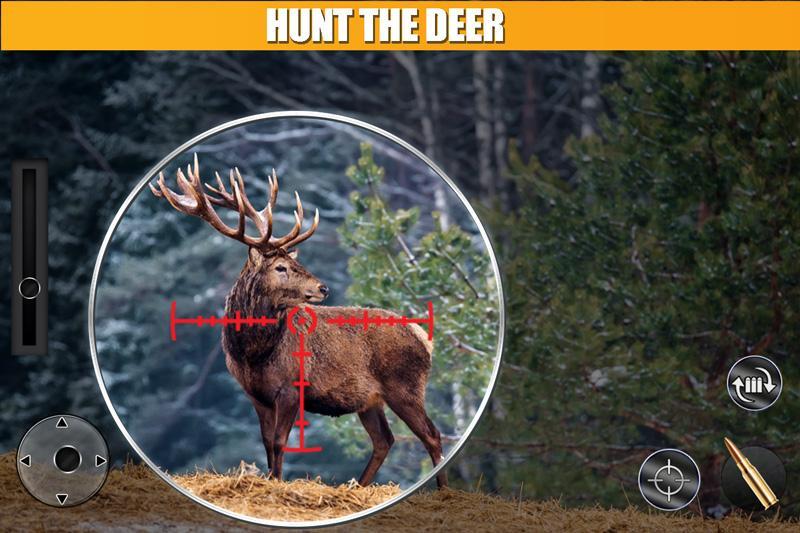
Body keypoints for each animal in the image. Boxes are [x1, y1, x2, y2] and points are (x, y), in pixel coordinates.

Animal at [150, 155, 447, 488]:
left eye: (295, 262)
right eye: (280, 267)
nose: (323, 287)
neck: (253, 354)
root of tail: (423, 336)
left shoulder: (291, 387)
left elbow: (280, 442)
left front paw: (277, 483)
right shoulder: (256, 395)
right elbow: (267, 443)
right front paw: (270, 481)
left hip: (405, 386)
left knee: (432, 435)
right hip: (370, 400)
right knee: (384, 440)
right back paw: (357, 486)